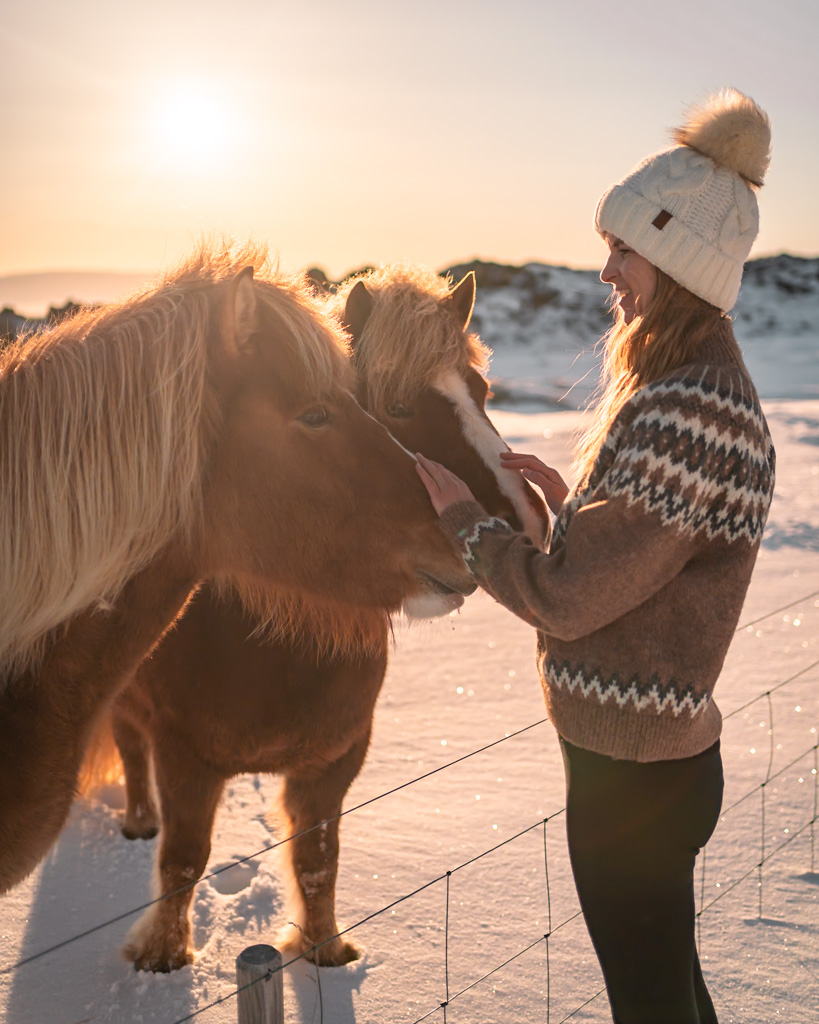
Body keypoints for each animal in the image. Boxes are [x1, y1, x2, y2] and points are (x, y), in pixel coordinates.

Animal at [91, 262, 548, 966]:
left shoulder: (335, 758)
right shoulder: (186, 757)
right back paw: (139, 821)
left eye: (480, 390)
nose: (524, 523)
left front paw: (325, 952)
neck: (273, 647)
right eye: (398, 406)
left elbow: (317, 859)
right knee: (130, 750)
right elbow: (183, 861)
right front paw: (163, 958)